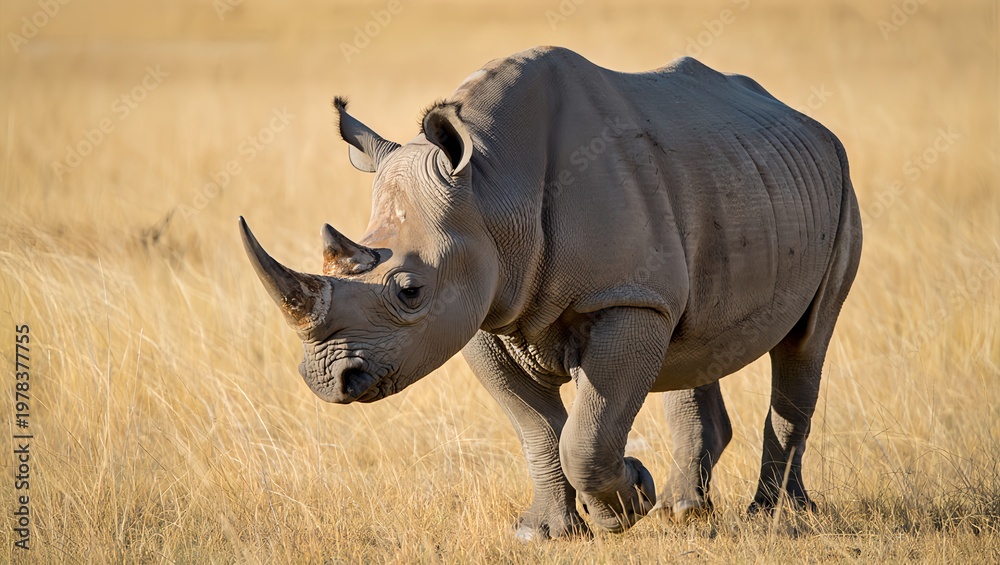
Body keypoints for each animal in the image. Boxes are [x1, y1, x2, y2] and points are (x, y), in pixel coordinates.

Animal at [239, 46, 862, 539]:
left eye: (410, 291)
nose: (326, 379)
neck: (492, 187)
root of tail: (809, 123)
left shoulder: (622, 298)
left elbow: (585, 436)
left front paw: (628, 501)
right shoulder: (481, 311)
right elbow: (538, 428)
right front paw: (546, 532)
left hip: (840, 186)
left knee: (806, 343)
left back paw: (774, 518)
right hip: (734, 176)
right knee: (692, 340)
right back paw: (684, 510)